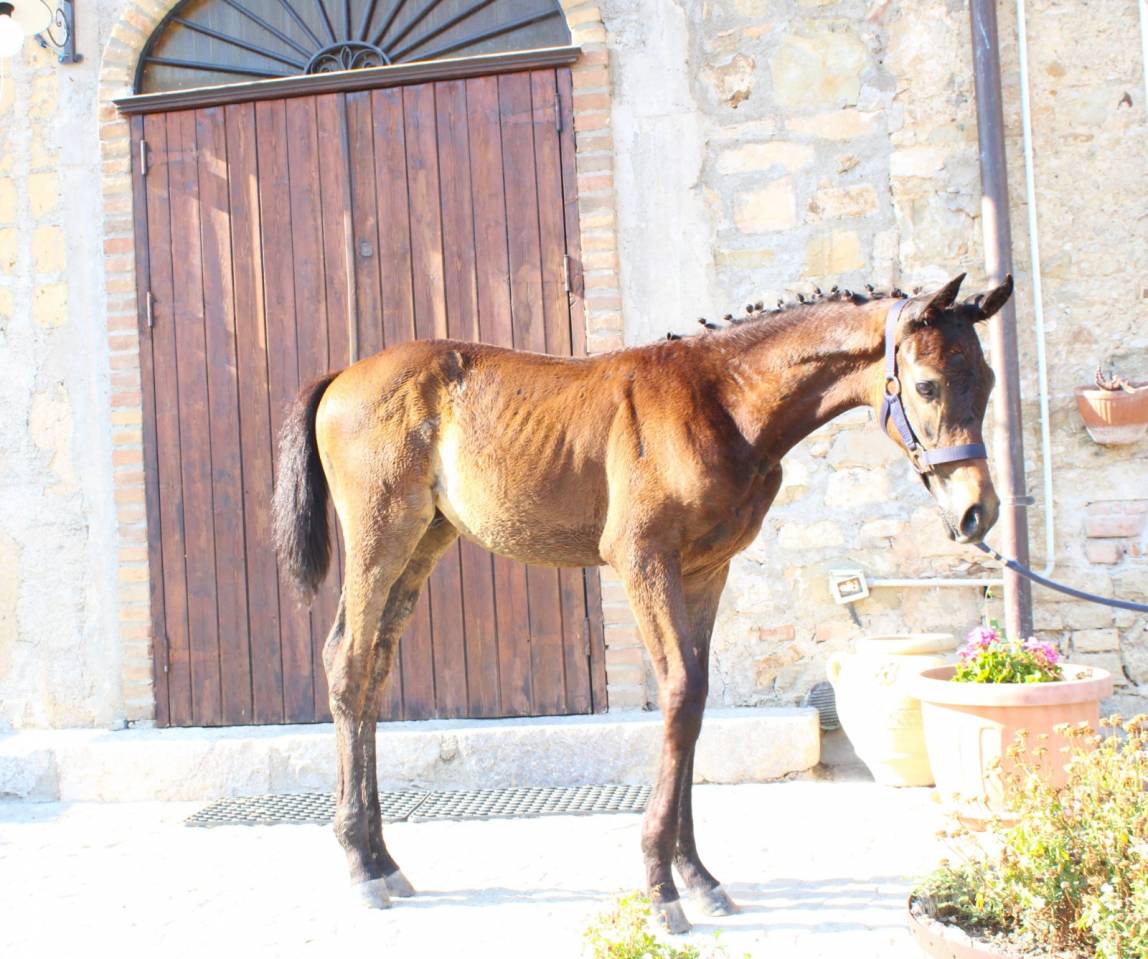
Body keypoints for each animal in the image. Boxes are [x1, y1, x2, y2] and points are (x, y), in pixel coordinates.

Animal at [272, 270, 1012, 933]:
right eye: (927, 384)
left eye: (988, 380)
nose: (978, 512)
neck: (723, 401)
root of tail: (340, 376)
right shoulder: (641, 559)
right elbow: (679, 692)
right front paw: (662, 884)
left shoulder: (706, 570)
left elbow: (694, 699)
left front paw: (698, 876)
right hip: (380, 537)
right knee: (346, 662)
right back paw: (361, 866)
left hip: (424, 541)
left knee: (372, 670)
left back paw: (383, 859)